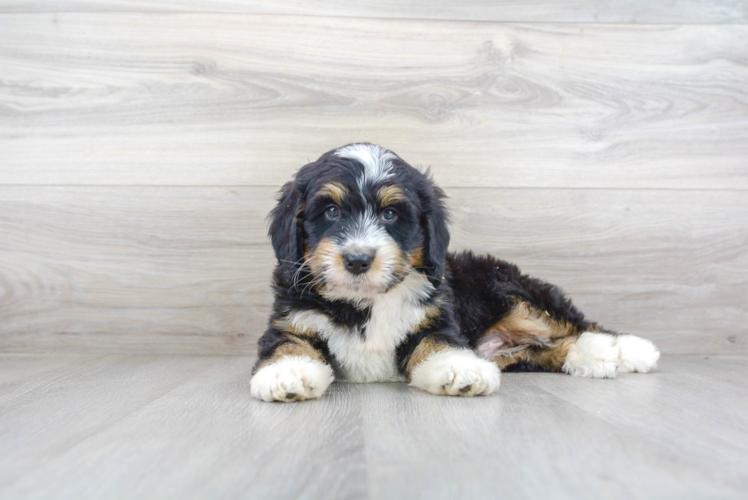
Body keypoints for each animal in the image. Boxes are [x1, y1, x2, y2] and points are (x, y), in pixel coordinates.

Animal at [253, 144, 660, 402]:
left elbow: (439, 342)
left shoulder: (437, 316)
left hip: (510, 289)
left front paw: (457, 371)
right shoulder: (291, 319)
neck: (364, 302)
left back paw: (630, 349)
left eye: (390, 214)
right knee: (545, 350)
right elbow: (288, 344)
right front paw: (286, 373)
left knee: (571, 322)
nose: (357, 259)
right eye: (331, 211)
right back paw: (596, 356)